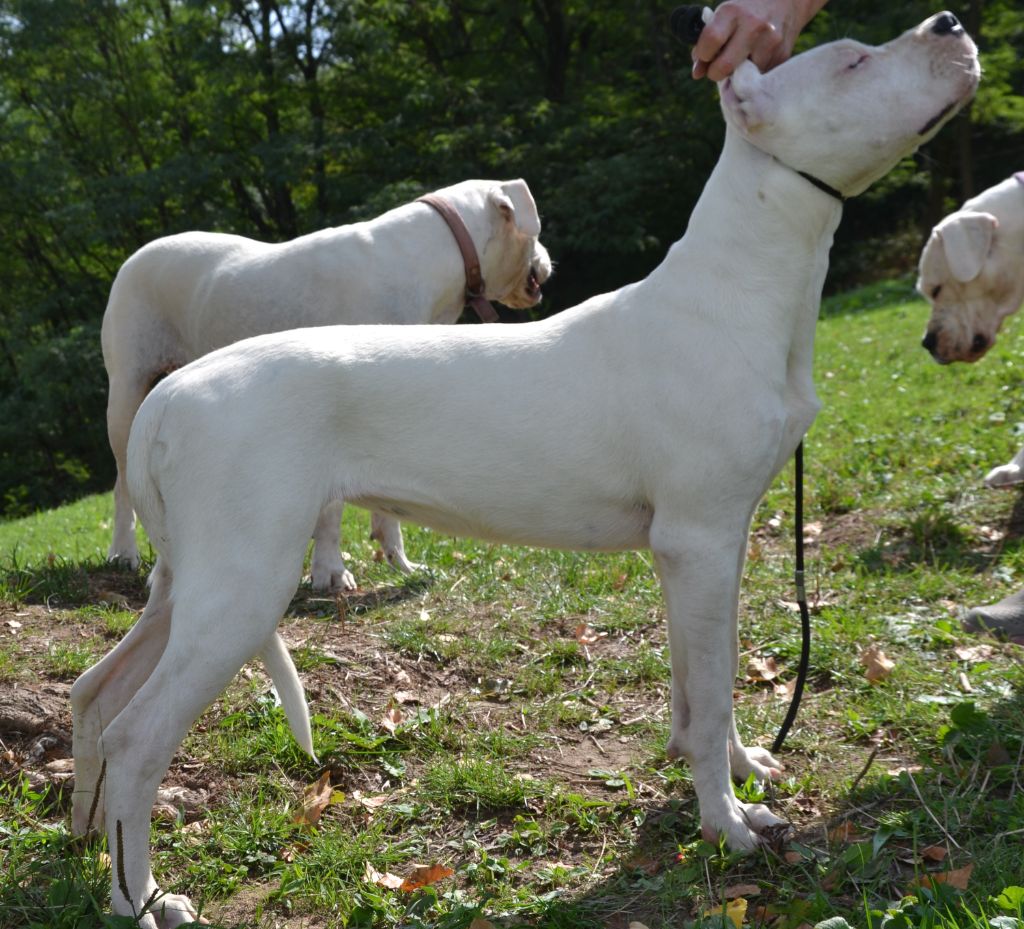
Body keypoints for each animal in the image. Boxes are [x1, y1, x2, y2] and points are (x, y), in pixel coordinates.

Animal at [101, 180, 552, 589]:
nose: (549, 259)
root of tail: (138, 254)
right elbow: (332, 509)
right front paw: (330, 572)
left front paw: (398, 561)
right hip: (126, 396)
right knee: (123, 484)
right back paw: (124, 552)